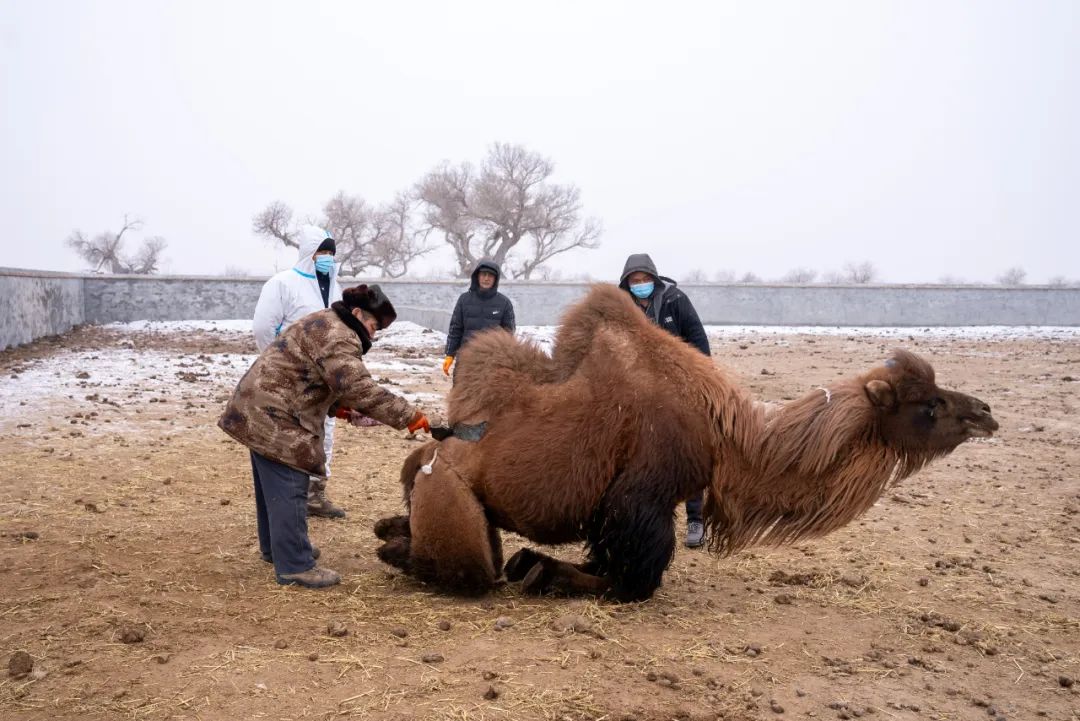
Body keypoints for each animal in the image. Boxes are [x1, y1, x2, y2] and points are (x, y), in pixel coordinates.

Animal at [374, 285, 998, 602]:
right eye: (930, 405)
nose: (985, 413)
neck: (727, 437)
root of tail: (430, 453)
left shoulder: (618, 510)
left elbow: (614, 565)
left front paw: (538, 566)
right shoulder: (641, 499)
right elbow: (635, 580)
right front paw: (542, 571)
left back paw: (391, 531)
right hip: (451, 495)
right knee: (474, 570)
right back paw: (403, 550)